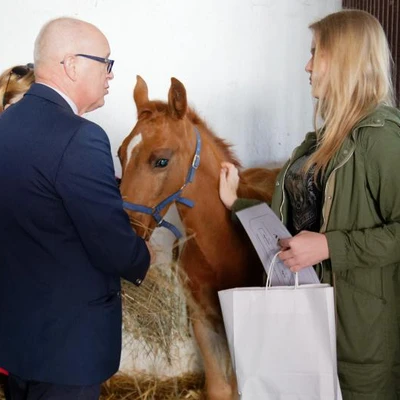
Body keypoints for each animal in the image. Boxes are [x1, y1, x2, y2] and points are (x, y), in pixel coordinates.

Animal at [119, 76, 280, 400]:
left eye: (161, 161)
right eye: (120, 153)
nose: (122, 229)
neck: (220, 247)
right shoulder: (204, 322)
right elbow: (220, 389)